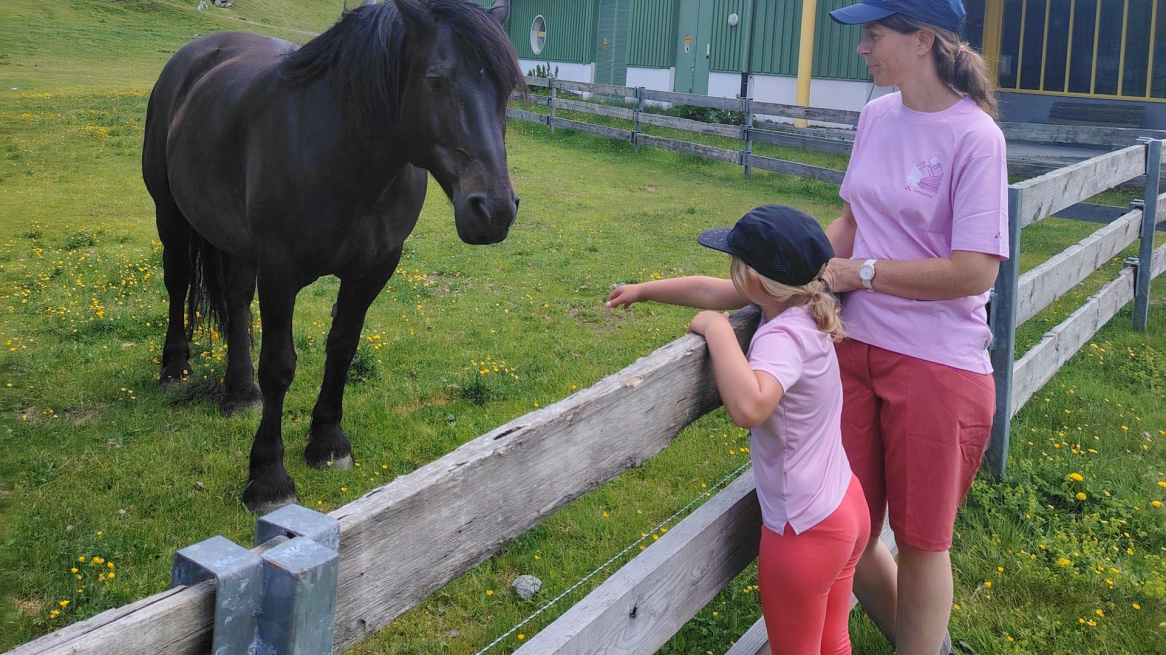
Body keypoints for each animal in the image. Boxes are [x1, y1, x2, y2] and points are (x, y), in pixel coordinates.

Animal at [142, 0, 524, 513]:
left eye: (508, 88)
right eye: (436, 81)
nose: (495, 211)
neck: (348, 155)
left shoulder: (374, 269)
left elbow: (342, 347)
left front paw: (327, 443)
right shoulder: (280, 272)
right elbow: (279, 366)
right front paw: (268, 477)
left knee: (237, 299)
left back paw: (240, 392)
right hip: (170, 214)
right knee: (178, 281)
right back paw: (175, 368)